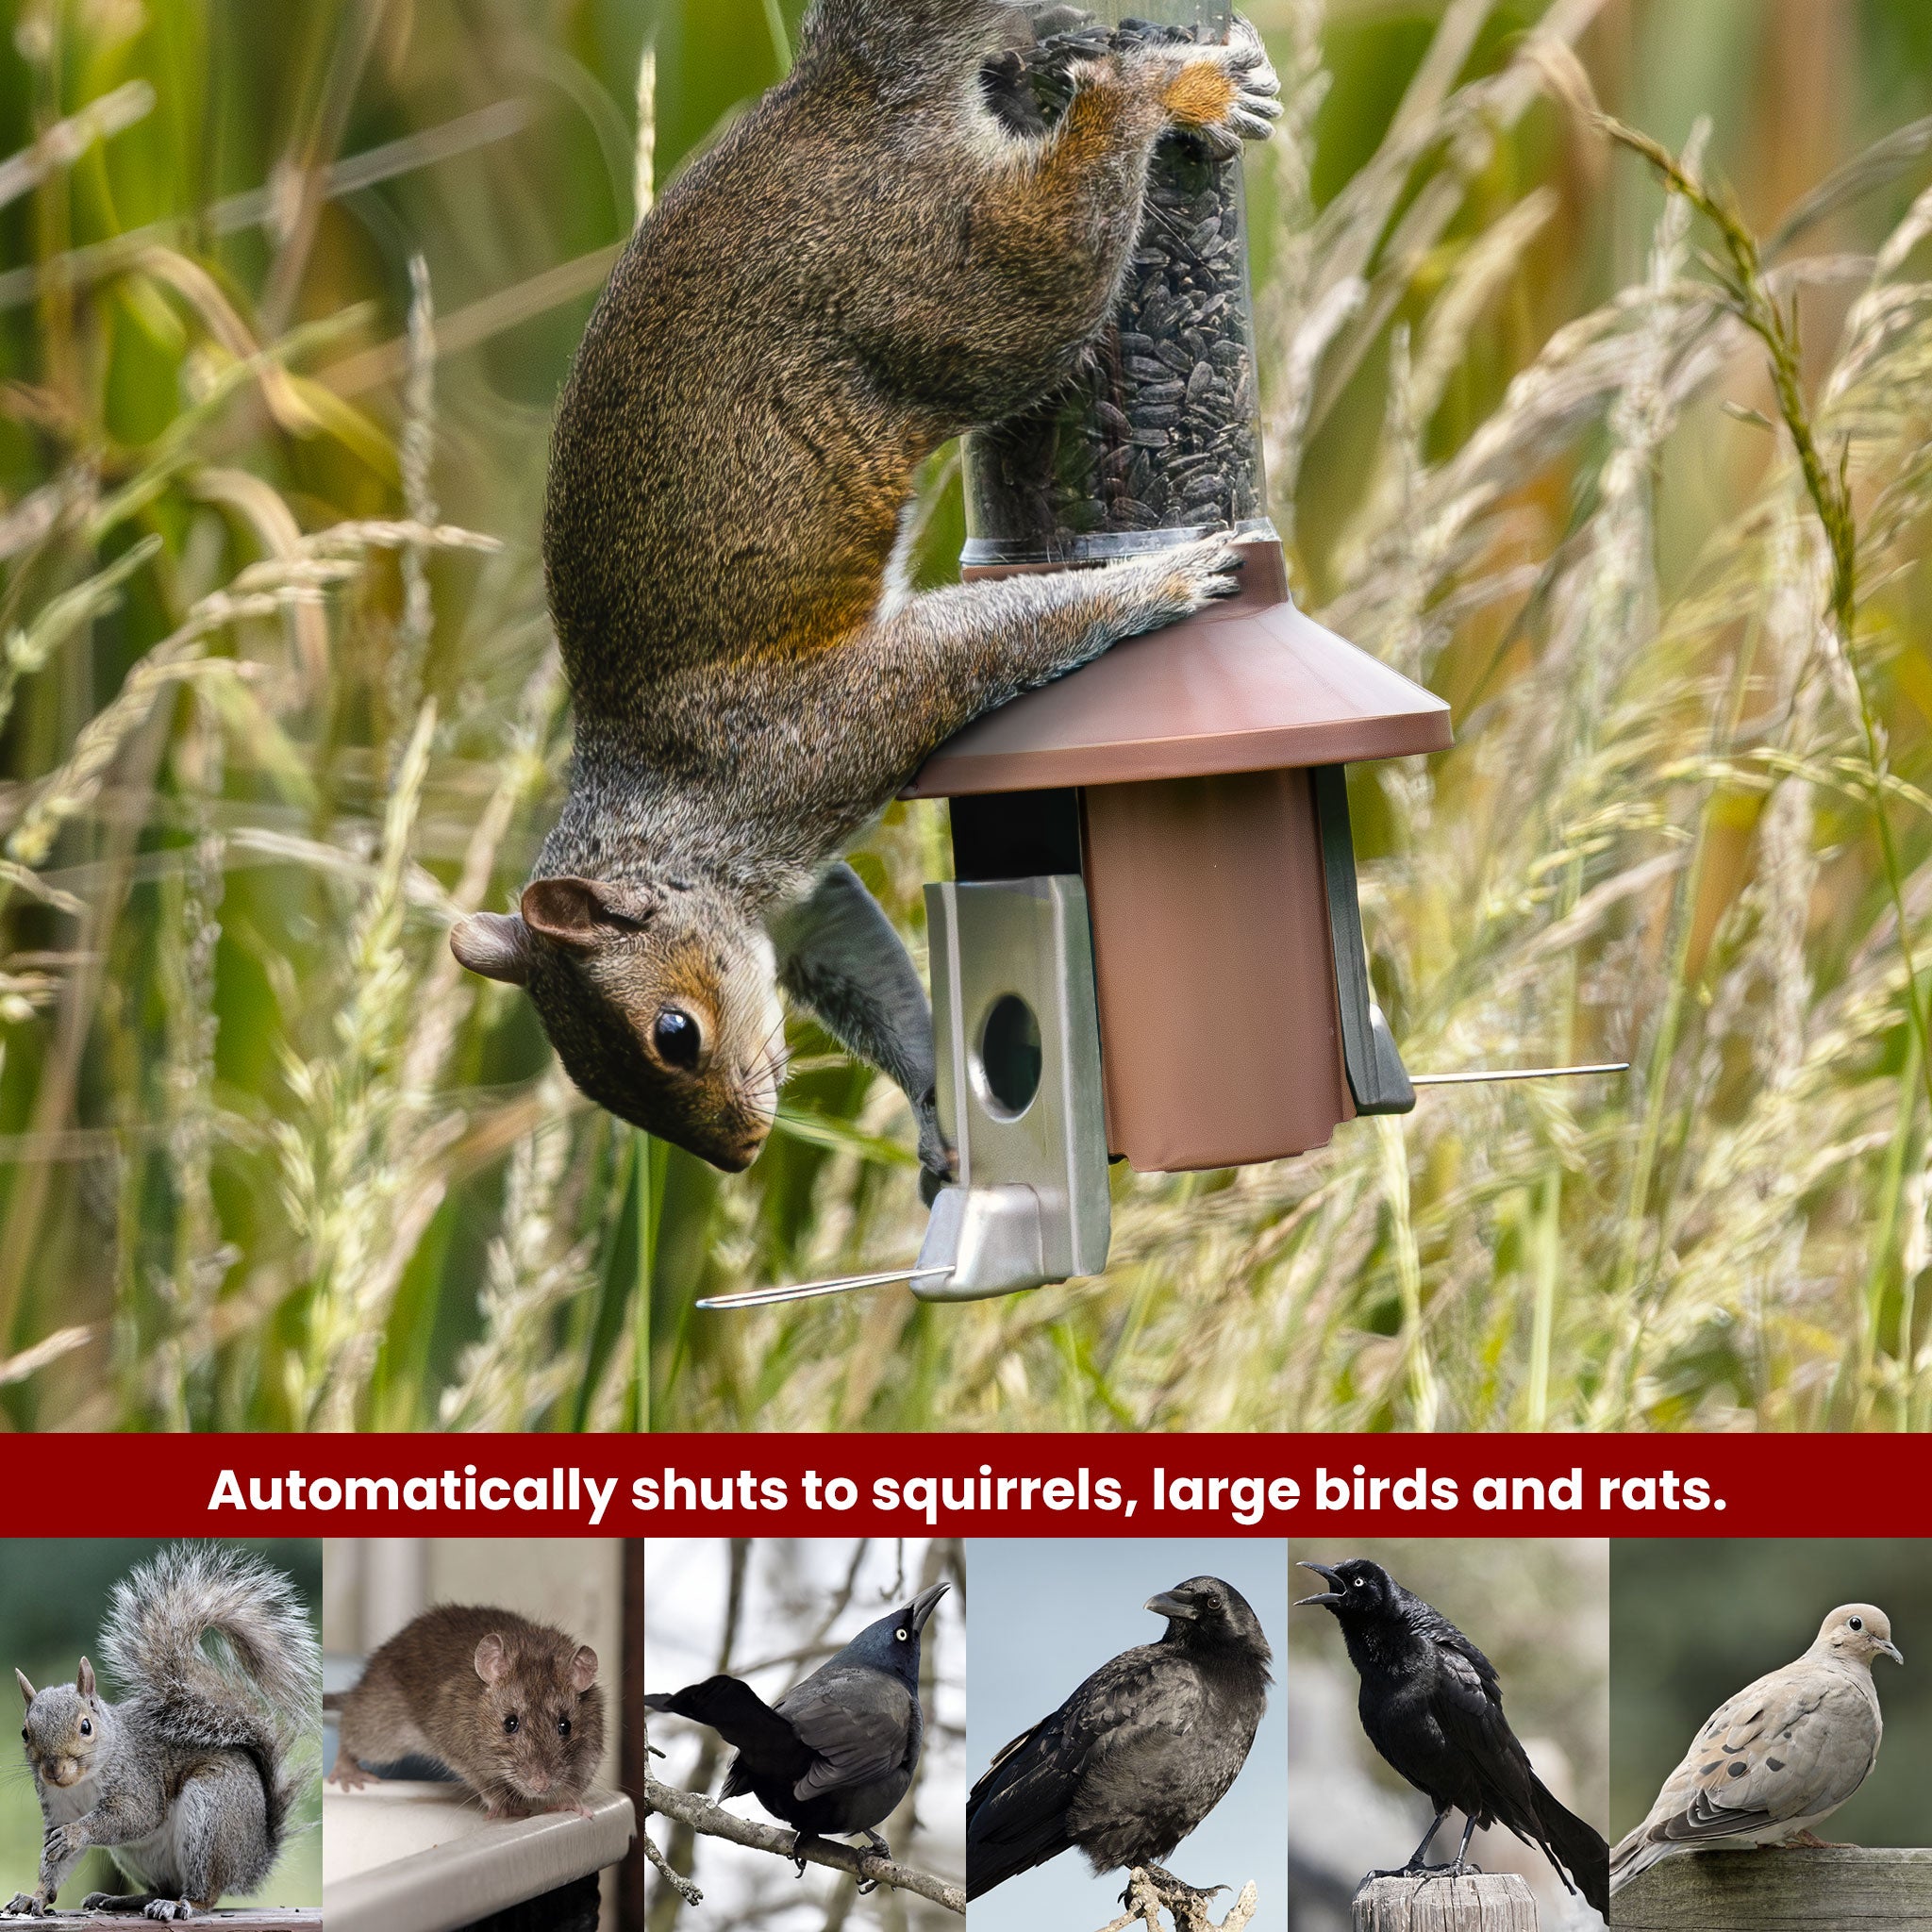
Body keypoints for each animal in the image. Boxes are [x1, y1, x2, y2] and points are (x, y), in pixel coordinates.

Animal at [6, 1544, 319, 1922]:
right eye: (25, 1732)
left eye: (85, 1727)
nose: (53, 1770)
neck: (82, 1781)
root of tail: (253, 1859)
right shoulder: (57, 1807)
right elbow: (55, 1864)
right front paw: (34, 1897)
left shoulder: (138, 1781)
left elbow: (134, 1816)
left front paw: (75, 1834)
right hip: (138, 1856)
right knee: (163, 1887)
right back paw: (122, 1899)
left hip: (211, 1816)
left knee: (204, 1893)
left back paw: (180, 1904)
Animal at [450, 0, 1282, 1184]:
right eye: (592, 1082)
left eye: (673, 1033)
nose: (740, 1154)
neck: (675, 819)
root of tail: (842, 95)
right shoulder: (802, 902)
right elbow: (864, 966)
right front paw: (939, 1103)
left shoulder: (826, 731)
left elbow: (978, 646)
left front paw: (1160, 576)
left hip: (973, 293)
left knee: (1066, 230)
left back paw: (1161, 92)